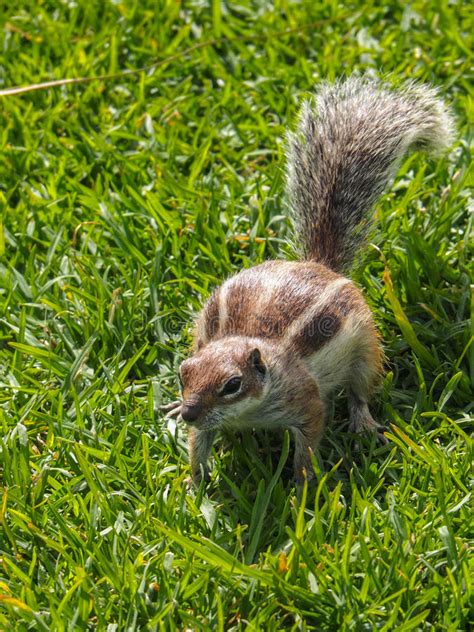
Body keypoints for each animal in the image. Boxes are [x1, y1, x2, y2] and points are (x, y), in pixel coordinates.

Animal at [163, 74, 456, 484]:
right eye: (183, 373)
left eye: (232, 385)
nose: (190, 411)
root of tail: (318, 265)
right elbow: (198, 444)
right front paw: (194, 483)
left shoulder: (306, 402)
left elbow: (309, 443)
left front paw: (301, 489)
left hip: (366, 347)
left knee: (361, 389)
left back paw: (364, 424)